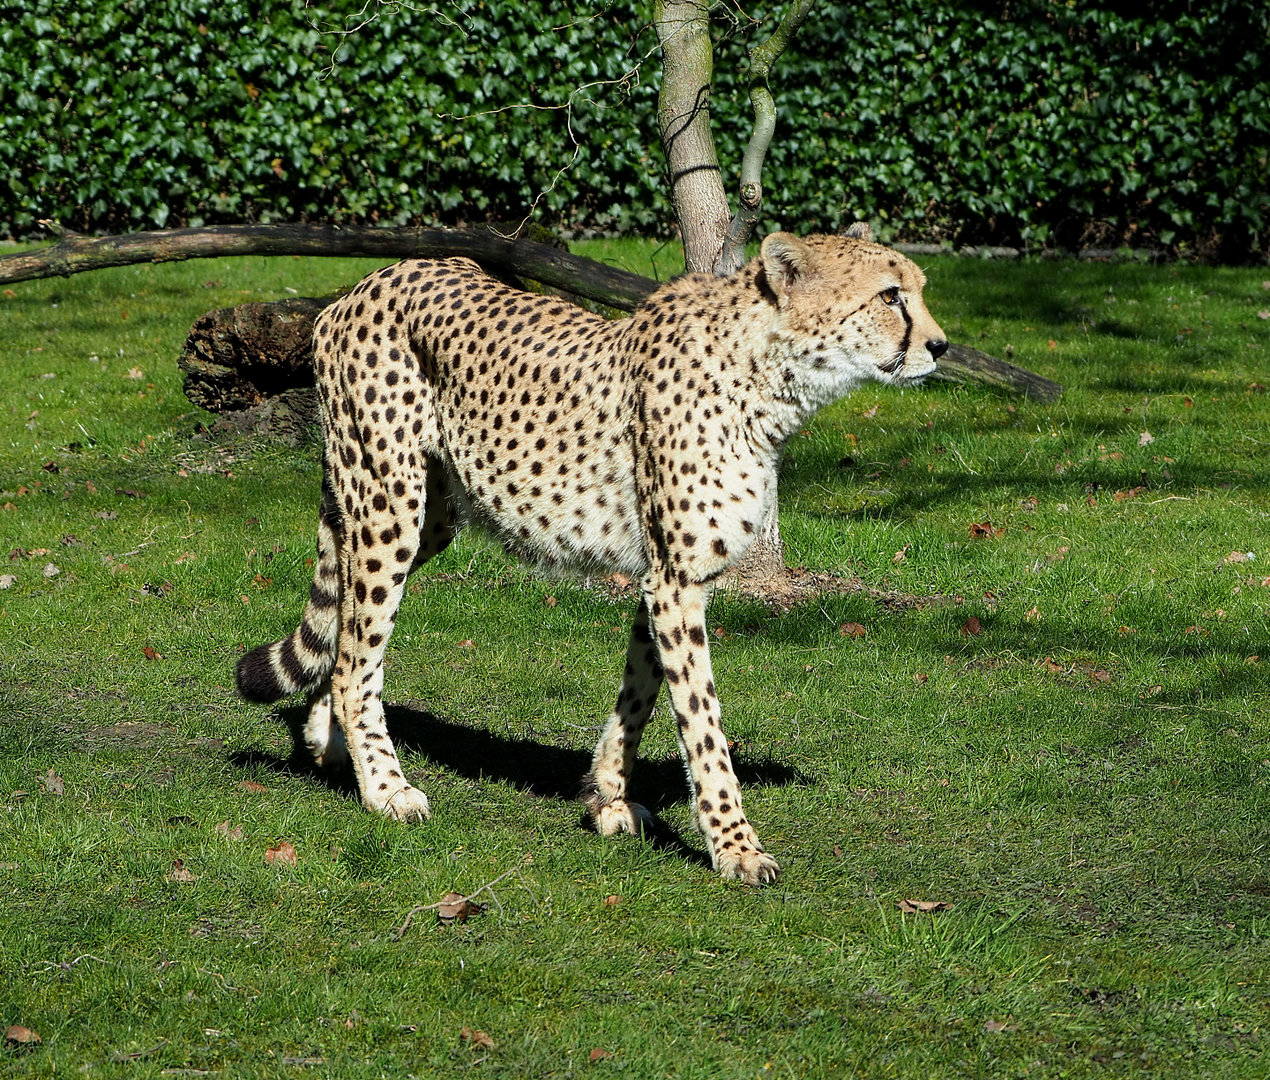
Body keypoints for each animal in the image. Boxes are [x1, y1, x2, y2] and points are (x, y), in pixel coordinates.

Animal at [235, 224, 947, 885]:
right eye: (890, 295)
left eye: (917, 288)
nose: (939, 347)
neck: (769, 372)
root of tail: (368, 280)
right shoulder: (677, 580)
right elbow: (703, 725)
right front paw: (735, 847)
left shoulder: (665, 575)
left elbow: (641, 693)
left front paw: (609, 799)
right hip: (389, 504)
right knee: (357, 655)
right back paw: (385, 788)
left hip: (428, 512)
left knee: (346, 632)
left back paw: (327, 740)